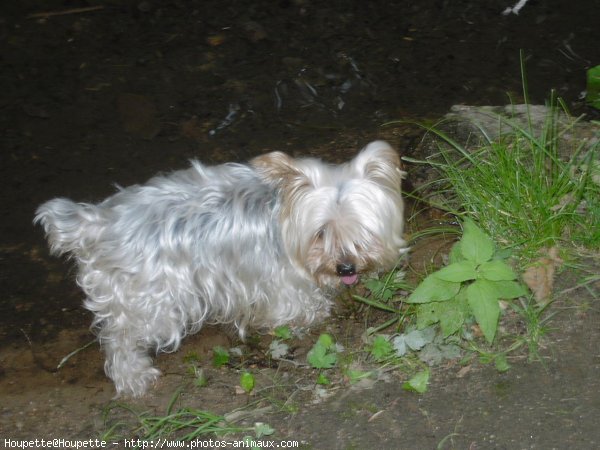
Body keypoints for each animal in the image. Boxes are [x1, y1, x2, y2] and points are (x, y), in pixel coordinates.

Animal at [34, 142, 408, 398]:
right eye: (321, 232)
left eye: (363, 230)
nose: (345, 268)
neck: (281, 214)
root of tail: (95, 224)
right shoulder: (280, 281)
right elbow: (296, 307)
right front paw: (311, 316)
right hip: (148, 301)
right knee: (120, 339)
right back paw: (133, 377)